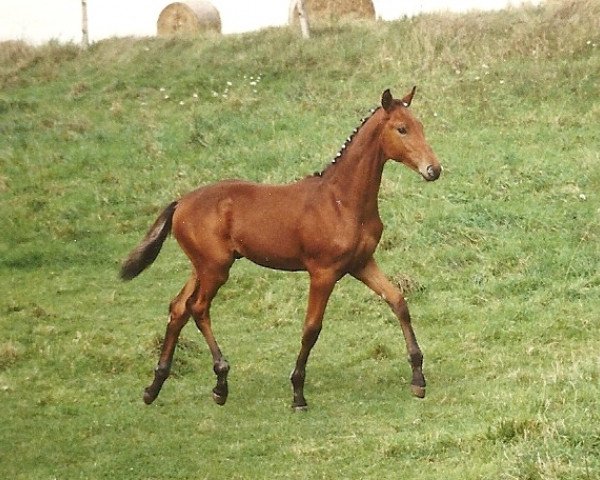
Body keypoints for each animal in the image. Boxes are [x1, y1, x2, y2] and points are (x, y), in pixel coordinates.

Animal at [120, 88, 440, 410]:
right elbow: (311, 328)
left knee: (178, 309)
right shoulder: (323, 272)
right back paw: (220, 383)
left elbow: (398, 301)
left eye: (421, 126)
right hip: (215, 269)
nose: (434, 170)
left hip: (201, 267)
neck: (342, 201)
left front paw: (418, 379)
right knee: (197, 308)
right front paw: (298, 392)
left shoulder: (361, 264)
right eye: (402, 129)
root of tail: (180, 203)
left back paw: (154, 386)